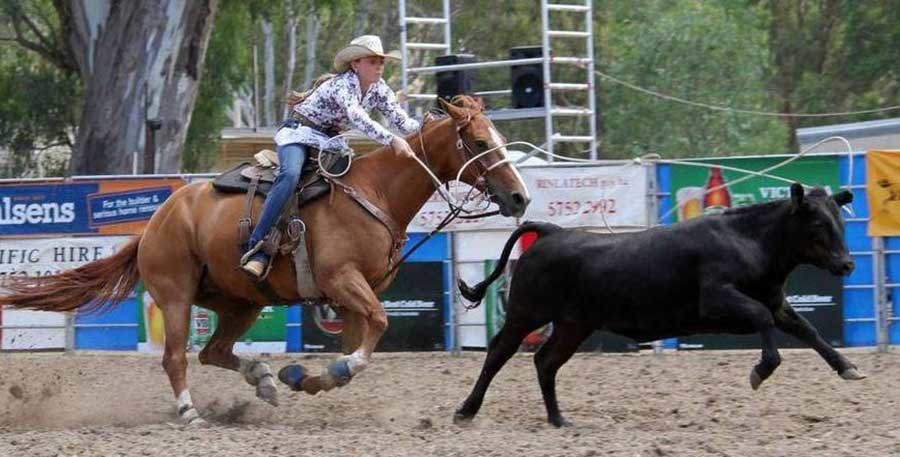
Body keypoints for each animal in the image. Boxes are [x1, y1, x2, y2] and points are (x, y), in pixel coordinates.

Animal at [0, 96, 532, 424]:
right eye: (479, 143)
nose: (520, 198)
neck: (374, 192)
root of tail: (156, 220)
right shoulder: (343, 281)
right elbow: (377, 328)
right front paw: (326, 374)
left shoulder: (352, 296)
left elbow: (356, 346)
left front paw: (308, 378)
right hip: (174, 294)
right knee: (177, 356)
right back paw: (191, 414)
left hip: (242, 302)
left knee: (214, 351)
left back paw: (264, 381)